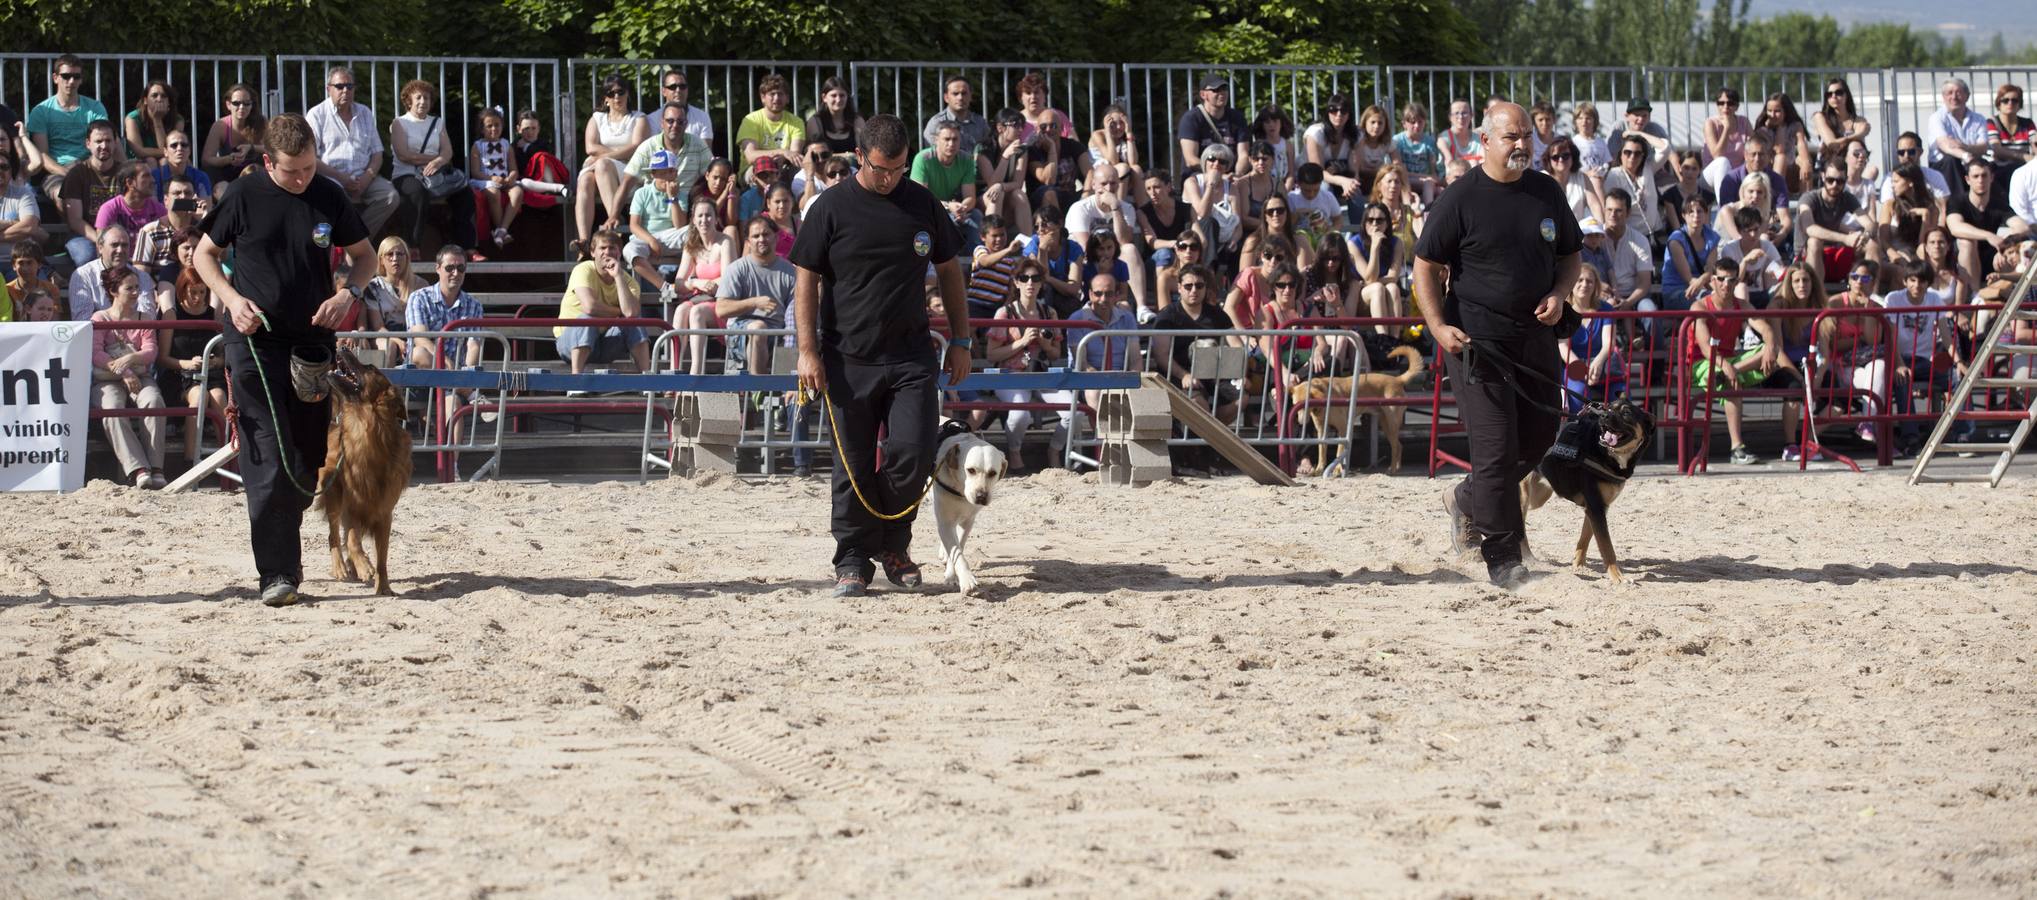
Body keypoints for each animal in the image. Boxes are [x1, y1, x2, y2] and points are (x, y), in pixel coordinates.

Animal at [313, 348, 409, 594]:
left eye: (371, 368)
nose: (343, 347)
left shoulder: (384, 514)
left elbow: (382, 557)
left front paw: (383, 585)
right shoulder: (352, 506)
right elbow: (353, 540)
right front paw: (364, 566)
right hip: (333, 495)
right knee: (334, 536)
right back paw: (341, 567)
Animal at [932, 417, 1006, 594]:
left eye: (993, 473)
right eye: (970, 470)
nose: (981, 496)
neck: (960, 492)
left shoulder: (967, 522)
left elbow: (958, 547)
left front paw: (951, 575)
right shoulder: (945, 521)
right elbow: (956, 551)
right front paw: (965, 579)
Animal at [1295, 344, 1425, 474]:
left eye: (1305, 405)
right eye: (1296, 405)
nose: (1300, 422)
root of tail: (1398, 379)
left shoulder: (1343, 428)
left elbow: (1339, 451)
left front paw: (1337, 470)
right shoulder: (1322, 430)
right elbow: (1322, 450)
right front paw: (1319, 469)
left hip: (1391, 424)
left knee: (1396, 446)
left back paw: (1392, 469)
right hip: (1385, 425)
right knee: (1399, 445)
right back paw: (1396, 467)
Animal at [1515, 397, 1654, 578]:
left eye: (1626, 412)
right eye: (1609, 409)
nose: (1603, 416)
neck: (1608, 453)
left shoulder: (1597, 507)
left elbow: (1586, 538)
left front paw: (1578, 564)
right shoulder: (1595, 507)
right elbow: (1607, 546)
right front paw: (1617, 577)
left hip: (1539, 496)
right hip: (1523, 494)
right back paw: (1526, 557)